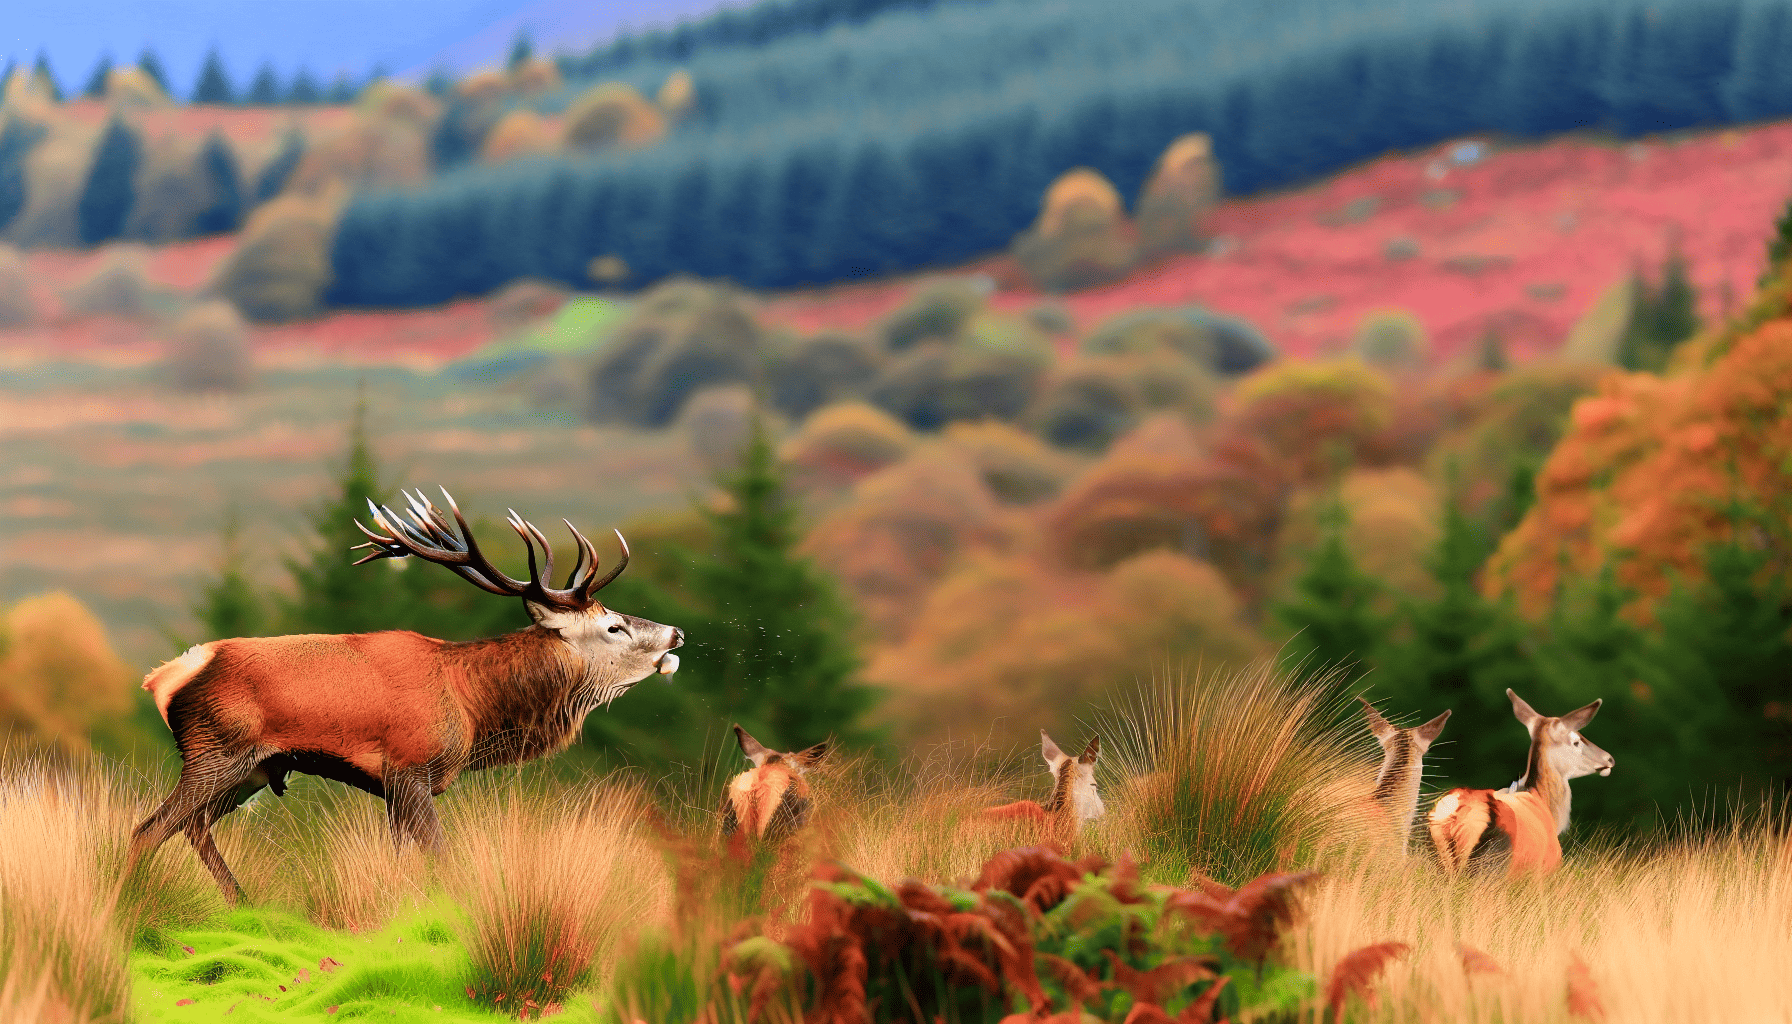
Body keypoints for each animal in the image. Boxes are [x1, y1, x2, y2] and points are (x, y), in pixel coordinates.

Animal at [128, 491, 684, 900]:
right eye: (613, 626)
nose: (676, 633)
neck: (472, 710)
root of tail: (165, 677)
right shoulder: (409, 767)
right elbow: (441, 857)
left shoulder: (393, 786)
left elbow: (402, 863)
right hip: (216, 751)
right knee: (149, 829)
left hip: (256, 769)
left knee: (193, 826)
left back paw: (242, 903)